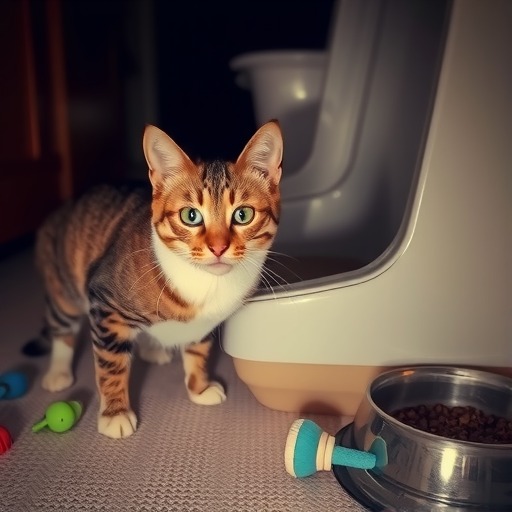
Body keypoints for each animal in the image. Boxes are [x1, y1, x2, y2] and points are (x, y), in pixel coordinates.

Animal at [33, 120, 282, 439]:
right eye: (191, 216)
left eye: (243, 214)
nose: (218, 247)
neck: (207, 284)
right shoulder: (105, 299)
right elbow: (111, 364)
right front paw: (115, 413)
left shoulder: (206, 322)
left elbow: (198, 349)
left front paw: (199, 387)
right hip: (63, 286)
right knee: (62, 324)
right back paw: (58, 371)